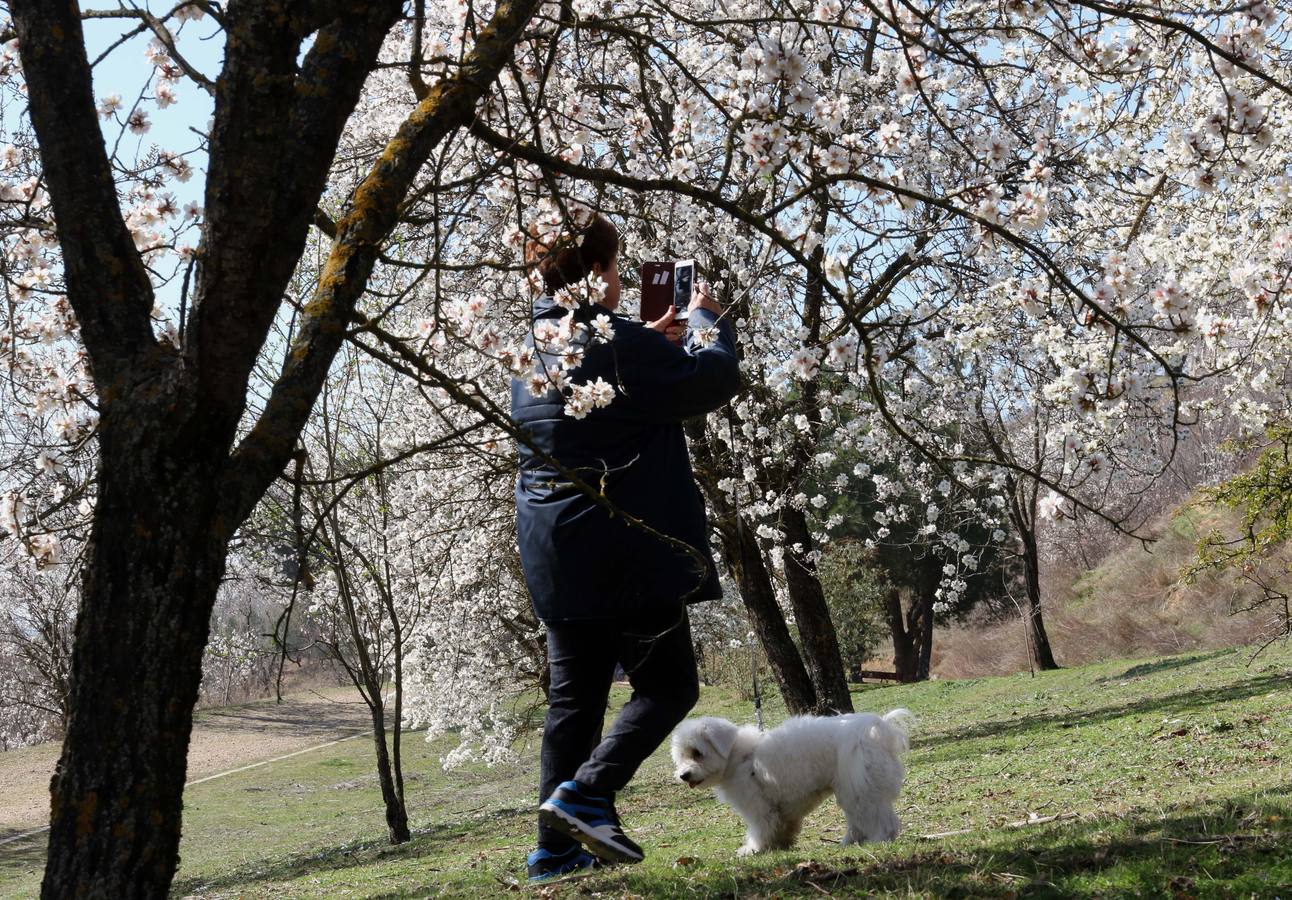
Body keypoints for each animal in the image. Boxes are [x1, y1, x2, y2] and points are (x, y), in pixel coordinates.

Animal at [671, 707, 914, 857]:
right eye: (681, 756)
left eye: (697, 753)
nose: (684, 775)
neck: (739, 757)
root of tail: (876, 731)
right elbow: (783, 825)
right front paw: (782, 843)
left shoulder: (758, 807)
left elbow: (759, 828)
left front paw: (753, 849)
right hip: (854, 791)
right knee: (865, 819)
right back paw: (849, 843)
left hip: (859, 788)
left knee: (880, 820)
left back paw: (877, 840)